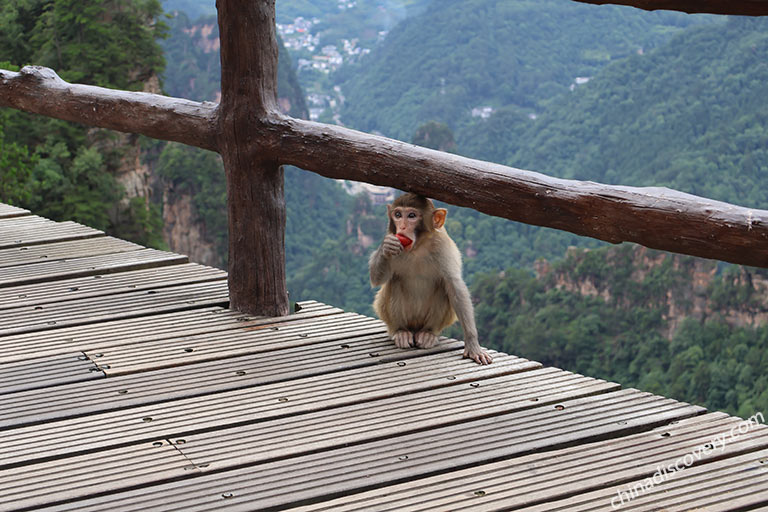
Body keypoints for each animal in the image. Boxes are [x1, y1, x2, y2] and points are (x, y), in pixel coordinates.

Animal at [370, 192, 492, 364]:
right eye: (398, 215)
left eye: (412, 216)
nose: (402, 227)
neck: (418, 247)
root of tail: (415, 328)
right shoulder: (391, 236)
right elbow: (376, 279)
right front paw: (386, 247)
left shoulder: (443, 245)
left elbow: (454, 285)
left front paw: (473, 344)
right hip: (389, 316)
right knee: (395, 282)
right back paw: (401, 332)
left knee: (442, 287)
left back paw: (428, 334)